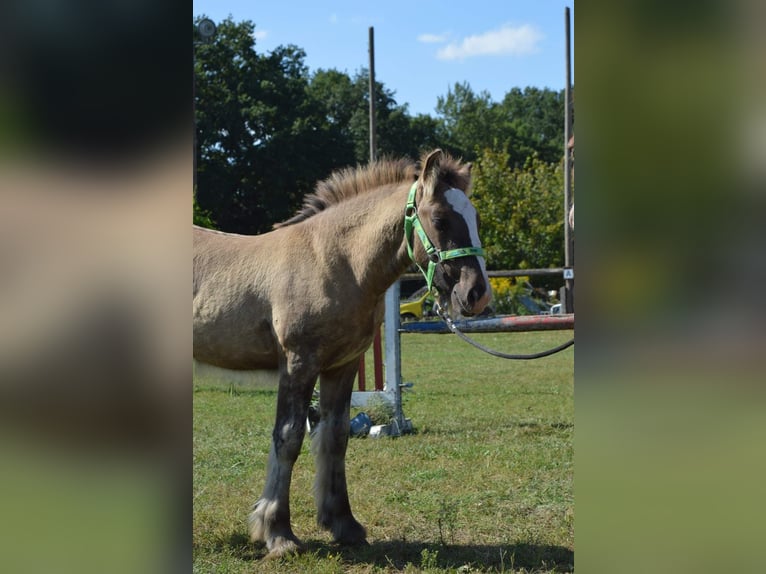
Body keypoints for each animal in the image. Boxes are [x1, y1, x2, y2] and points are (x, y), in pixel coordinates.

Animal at [194, 148, 492, 560]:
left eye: (475, 217)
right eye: (440, 219)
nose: (476, 293)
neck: (331, 260)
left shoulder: (343, 365)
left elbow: (335, 437)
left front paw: (344, 525)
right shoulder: (298, 363)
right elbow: (288, 437)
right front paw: (279, 533)